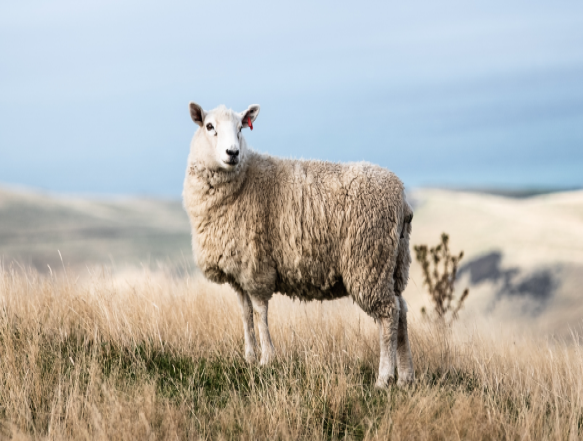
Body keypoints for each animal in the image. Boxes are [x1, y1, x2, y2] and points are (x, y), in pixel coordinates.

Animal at [182, 101, 416, 386]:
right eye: (209, 126)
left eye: (240, 128)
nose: (233, 153)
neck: (244, 179)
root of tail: (401, 198)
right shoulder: (238, 270)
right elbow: (245, 313)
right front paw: (249, 357)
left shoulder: (256, 266)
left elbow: (260, 312)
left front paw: (266, 359)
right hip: (393, 264)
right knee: (401, 310)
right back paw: (405, 377)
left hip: (368, 261)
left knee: (388, 314)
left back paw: (384, 378)